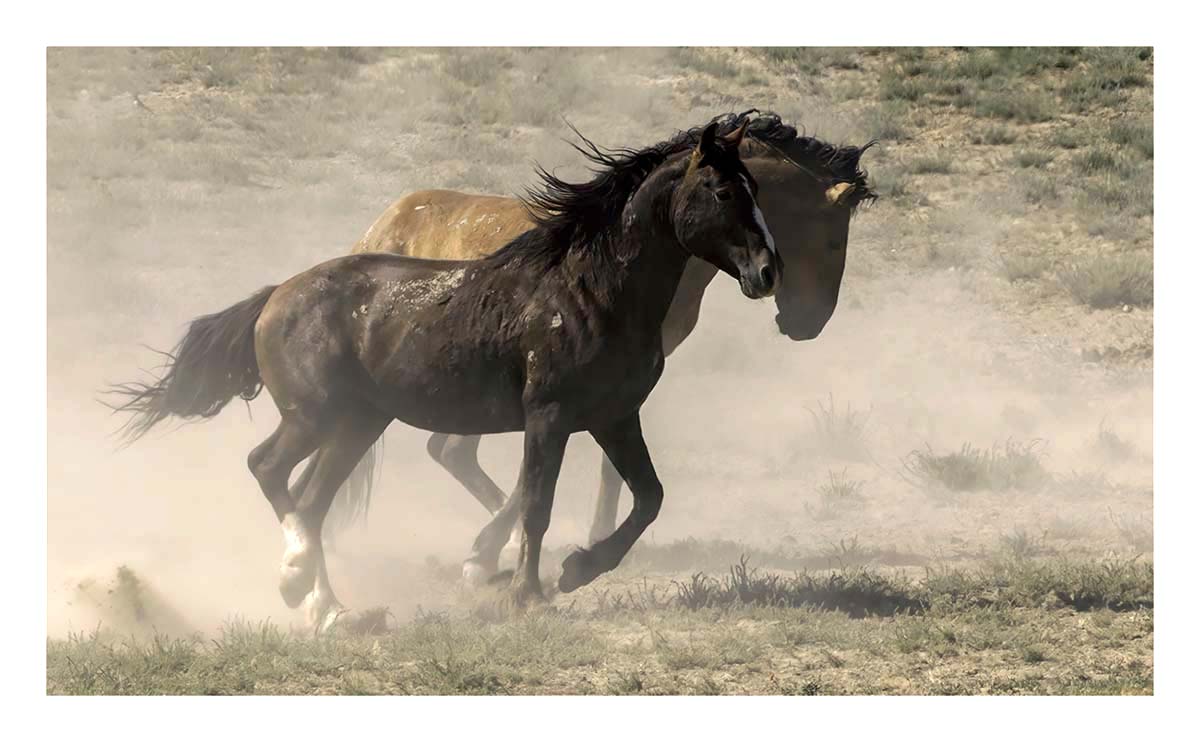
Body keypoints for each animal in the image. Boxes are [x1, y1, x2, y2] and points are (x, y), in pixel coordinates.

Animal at [108, 117, 781, 632]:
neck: (589, 289)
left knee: (312, 501)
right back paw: (297, 580)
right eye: (724, 192)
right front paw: (525, 593)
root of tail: (276, 295)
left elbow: (648, 498)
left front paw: (576, 570)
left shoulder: (614, 417)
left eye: (755, 188)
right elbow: (535, 505)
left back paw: (331, 612)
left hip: (357, 427)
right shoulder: (549, 416)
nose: (768, 271)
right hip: (314, 417)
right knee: (269, 469)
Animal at [333, 112, 877, 561]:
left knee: (449, 453)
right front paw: (501, 548)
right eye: (833, 240)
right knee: (450, 453)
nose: (809, 324)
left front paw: (596, 537)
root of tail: (380, 226)